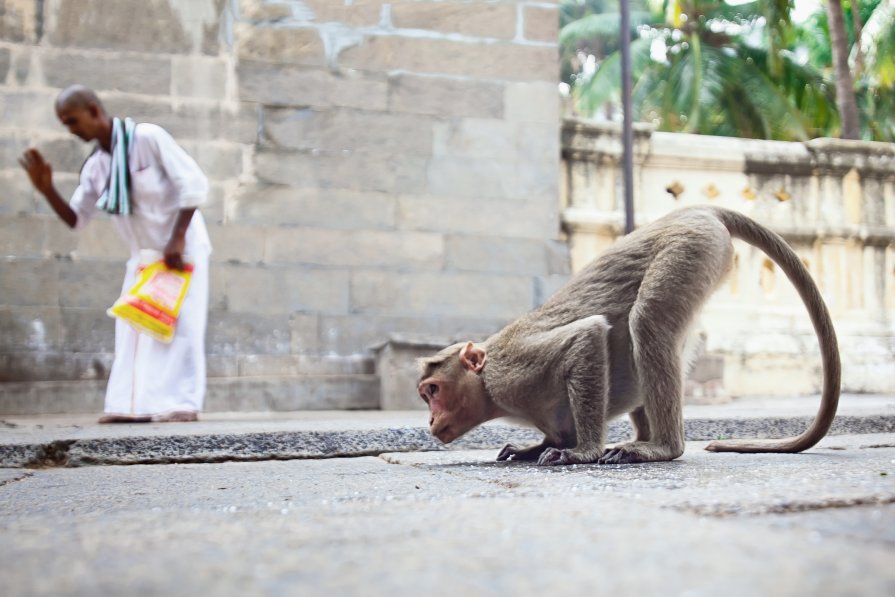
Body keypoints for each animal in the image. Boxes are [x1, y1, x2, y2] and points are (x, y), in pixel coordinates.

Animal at [418, 206, 840, 466]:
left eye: (433, 390)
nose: (430, 421)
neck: (490, 393)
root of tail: (697, 210)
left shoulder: (510, 372)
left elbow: (586, 337)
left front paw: (583, 452)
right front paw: (533, 447)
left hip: (691, 247)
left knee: (648, 321)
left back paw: (661, 447)